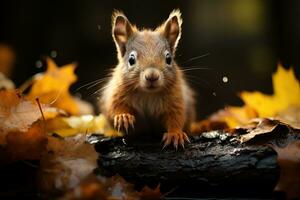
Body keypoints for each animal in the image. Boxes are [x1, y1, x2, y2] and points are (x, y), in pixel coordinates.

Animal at [99, 9, 196, 148]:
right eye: (131, 60)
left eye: (168, 59)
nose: (152, 76)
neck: (147, 94)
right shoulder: (117, 92)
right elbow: (115, 107)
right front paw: (123, 117)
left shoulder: (175, 97)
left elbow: (176, 116)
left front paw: (175, 134)